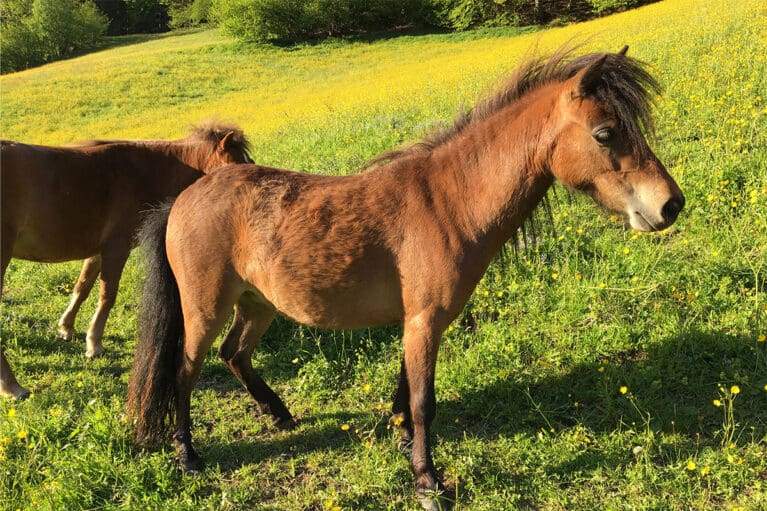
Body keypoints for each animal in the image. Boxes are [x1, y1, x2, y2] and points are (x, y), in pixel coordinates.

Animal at [0, 123, 252, 400]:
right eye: (237, 164)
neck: (143, 172)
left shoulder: (98, 251)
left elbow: (82, 288)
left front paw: (67, 328)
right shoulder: (116, 249)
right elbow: (107, 296)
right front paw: (94, 344)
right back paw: (12, 386)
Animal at [129, 48, 688, 511]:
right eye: (605, 133)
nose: (670, 205)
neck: (448, 202)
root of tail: (182, 200)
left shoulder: (415, 321)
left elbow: (405, 391)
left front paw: (401, 442)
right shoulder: (424, 320)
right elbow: (423, 402)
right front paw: (427, 481)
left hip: (258, 304)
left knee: (234, 354)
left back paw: (279, 414)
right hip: (205, 310)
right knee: (184, 371)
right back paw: (188, 454)